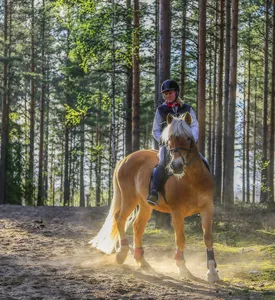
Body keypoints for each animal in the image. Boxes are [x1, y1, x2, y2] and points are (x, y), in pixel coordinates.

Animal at [90, 112, 220, 282]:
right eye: (169, 139)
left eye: (188, 138)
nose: (176, 166)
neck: (192, 180)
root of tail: (124, 159)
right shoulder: (177, 212)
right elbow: (180, 238)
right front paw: (182, 268)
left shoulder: (207, 208)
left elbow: (208, 237)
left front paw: (211, 271)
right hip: (129, 198)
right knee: (120, 218)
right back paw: (122, 253)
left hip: (145, 205)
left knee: (137, 226)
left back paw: (142, 262)